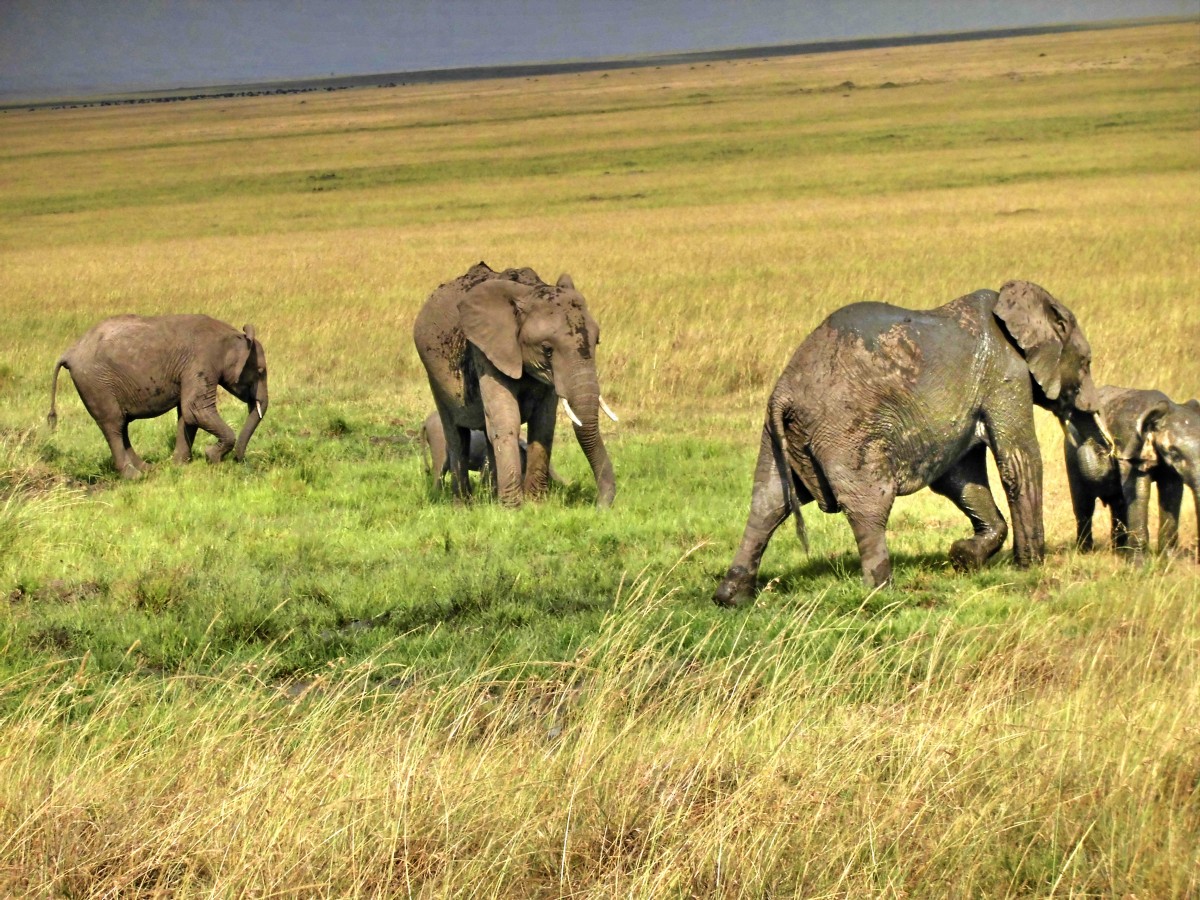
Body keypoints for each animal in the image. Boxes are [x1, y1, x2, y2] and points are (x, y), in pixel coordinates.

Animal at [48, 314, 268, 480]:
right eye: (260, 371)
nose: (240, 461)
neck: (234, 336)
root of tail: (69, 352)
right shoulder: (201, 362)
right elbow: (195, 410)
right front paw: (211, 457)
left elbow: (187, 415)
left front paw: (180, 466)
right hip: (96, 383)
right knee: (113, 425)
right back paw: (133, 477)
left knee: (121, 425)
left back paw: (146, 469)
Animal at [705, 282, 1108, 607]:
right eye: (1086, 363)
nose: (1091, 412)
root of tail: (784, 394)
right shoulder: (1006, 373)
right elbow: (1018, 461)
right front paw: (1028, 567)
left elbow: (960, 479)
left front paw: (962, 558)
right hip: (846, 433)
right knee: (869, 505)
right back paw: (884, 592)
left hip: (779, 438)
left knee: (766, 503)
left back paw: (729, 598)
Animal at [1065, 388, 1195, 564]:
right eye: (1175, 453)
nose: (1092, 443)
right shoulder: (1131, 448)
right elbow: (1139, 493)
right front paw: (1138, 565)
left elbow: (1172, 494)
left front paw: (1170, 561)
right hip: (1070, 452)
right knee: (1084, 505)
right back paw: (1085, 552)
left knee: (1118, 504)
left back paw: (1119, 551)